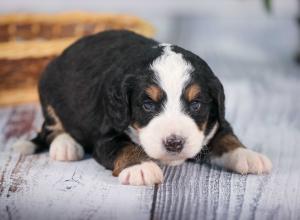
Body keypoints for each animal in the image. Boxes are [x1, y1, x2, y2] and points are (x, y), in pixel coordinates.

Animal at [13, 30, 272, 185]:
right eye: (148, 105)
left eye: (196, 104)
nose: (174, 143)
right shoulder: (107, 135)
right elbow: (126, 146)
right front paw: (141, 167)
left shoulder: (215, 120)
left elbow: (226, 137)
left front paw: (247, 155)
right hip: (48, 93)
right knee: (51, 129)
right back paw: (66, 146)